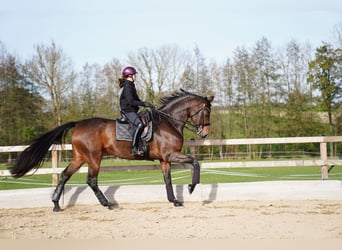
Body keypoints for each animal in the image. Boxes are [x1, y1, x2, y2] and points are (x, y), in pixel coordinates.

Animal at [9, 90, 214, 211]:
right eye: (206, 111)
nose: (205, 133)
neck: (169, 122)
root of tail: (78, 123)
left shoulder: (165, 159)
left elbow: (168, 180)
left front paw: (174, 201)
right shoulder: (171, 155)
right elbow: (195, 163)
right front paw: (191, 187)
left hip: (79, 157)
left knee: (65, 174)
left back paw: (56, 204)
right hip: (94, 157)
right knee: (91, 180)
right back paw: (107, 203)